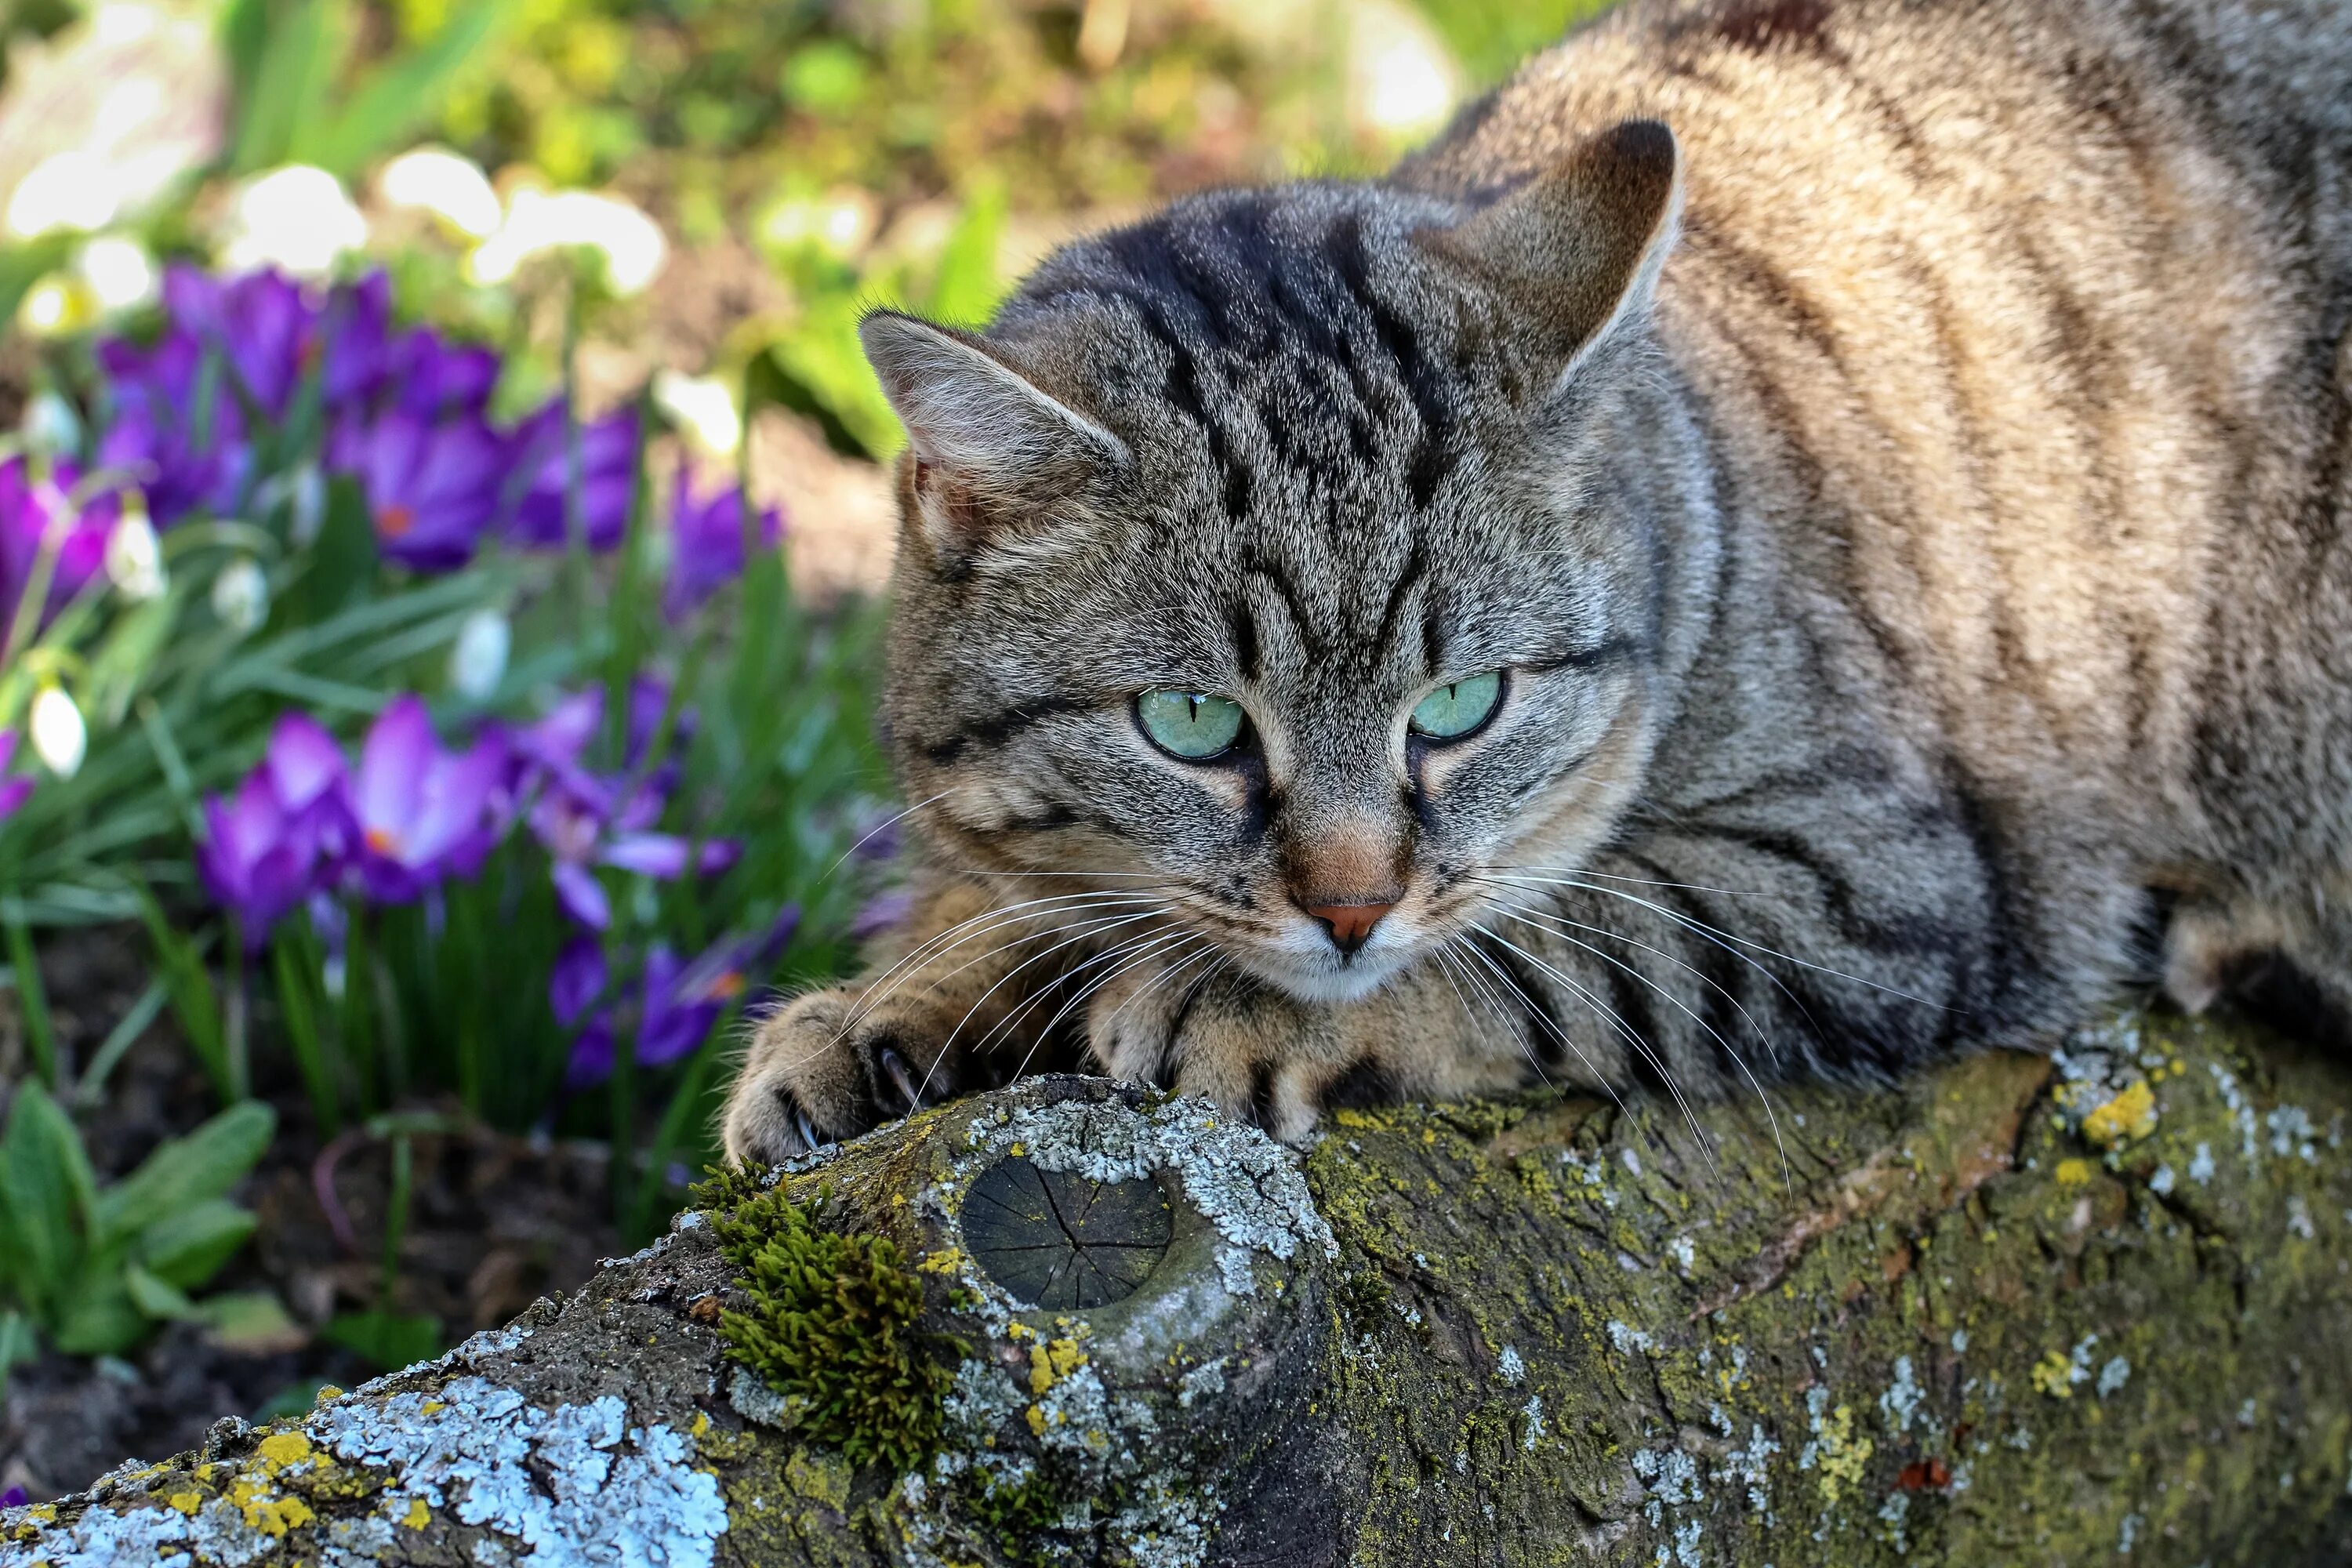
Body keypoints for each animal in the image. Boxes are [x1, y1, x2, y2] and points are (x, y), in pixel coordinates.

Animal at [715, 0, 2352, 1166]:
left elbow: (1569, 937)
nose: (1351, 910)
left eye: (1466, 704)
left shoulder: (1892, 879)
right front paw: (896, 1005)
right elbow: (1021, 893)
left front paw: (1222, 995)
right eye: (1192, 723)